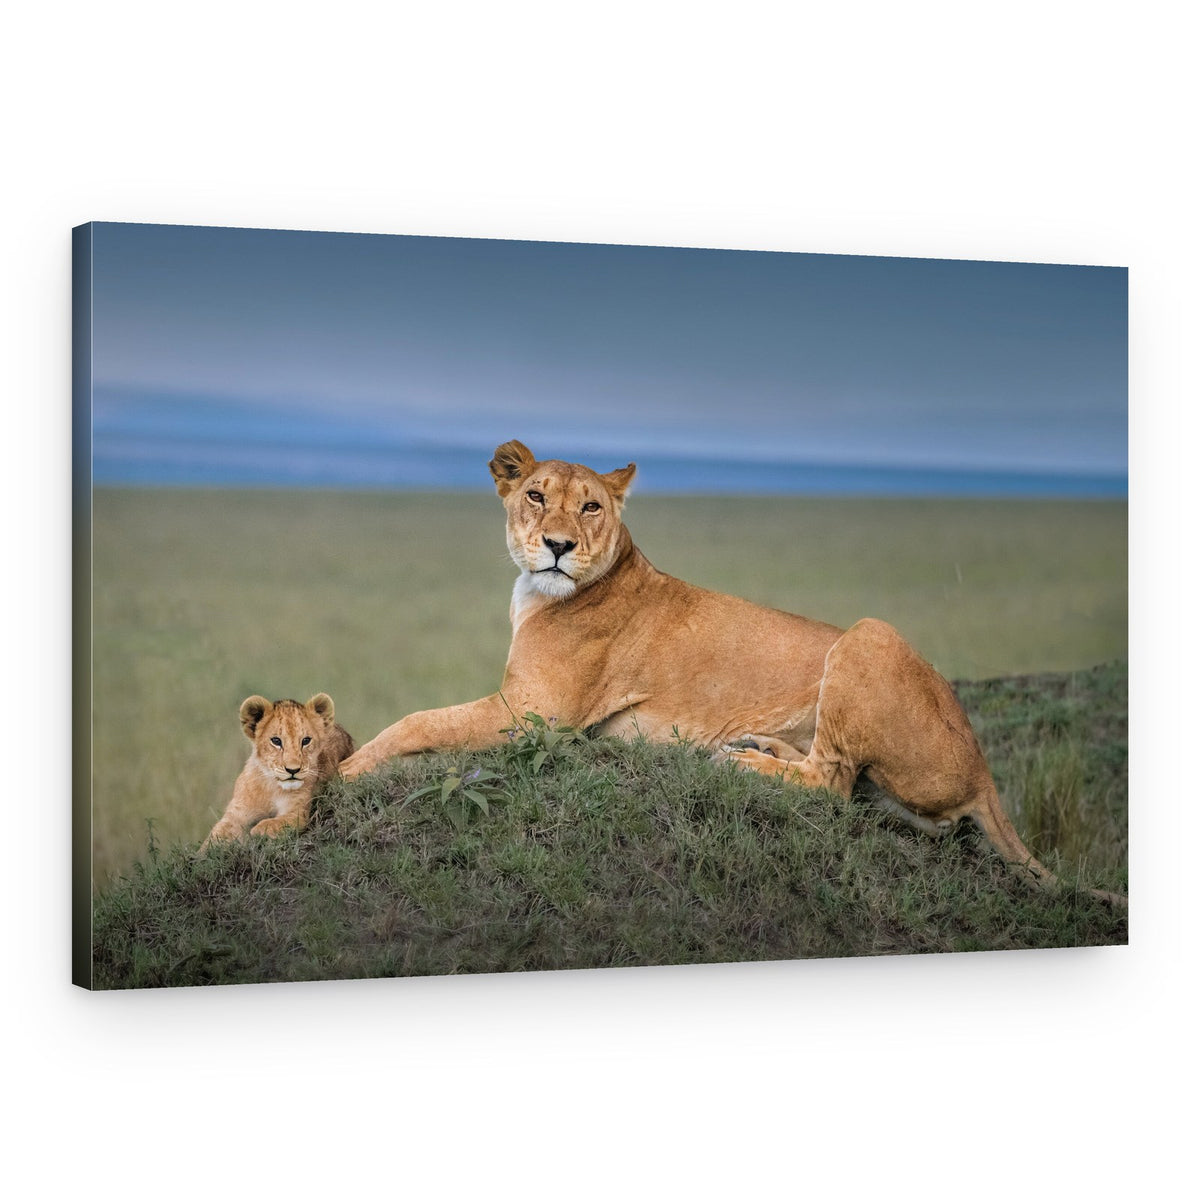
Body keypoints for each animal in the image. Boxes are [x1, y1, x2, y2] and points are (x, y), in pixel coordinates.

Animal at [202, 693, 354, 847]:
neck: (271, 785)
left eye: (306, 741)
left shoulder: (296, 813)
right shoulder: (236, 813)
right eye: (276, 741)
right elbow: (215, 836)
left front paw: (255, 831)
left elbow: (272, 823)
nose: (293, 770)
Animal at [340, 439, 1125, 906]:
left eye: (590, 506)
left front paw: (341, 773)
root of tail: (987, 771)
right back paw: (757, 745)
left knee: (833, 785)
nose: (558, 546)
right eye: (536, 495)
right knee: (853, 785)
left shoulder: (537, 715)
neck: (541, 591)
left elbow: (415, 722)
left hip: (868, 634)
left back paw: (742, 762)